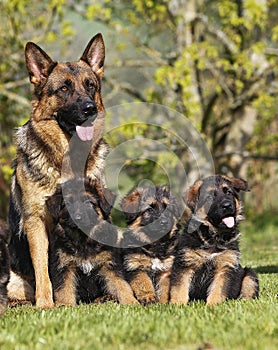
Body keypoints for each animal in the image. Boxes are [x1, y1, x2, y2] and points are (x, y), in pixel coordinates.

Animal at [8, 34, 108, 308]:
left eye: (90, 86)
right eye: (64, 88)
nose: (89, 109)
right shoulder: (35, 221)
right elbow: (43, 267)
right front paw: (46, 304)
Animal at [170, 176, 260, 304]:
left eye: (228, 192)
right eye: (210, 197)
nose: (227, 205)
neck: (214, 236)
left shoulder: (225, 266)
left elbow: (218, 290)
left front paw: (213, 305)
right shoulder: (185, 264)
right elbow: (179, 288)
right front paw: (177, 305)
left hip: (249, 274)